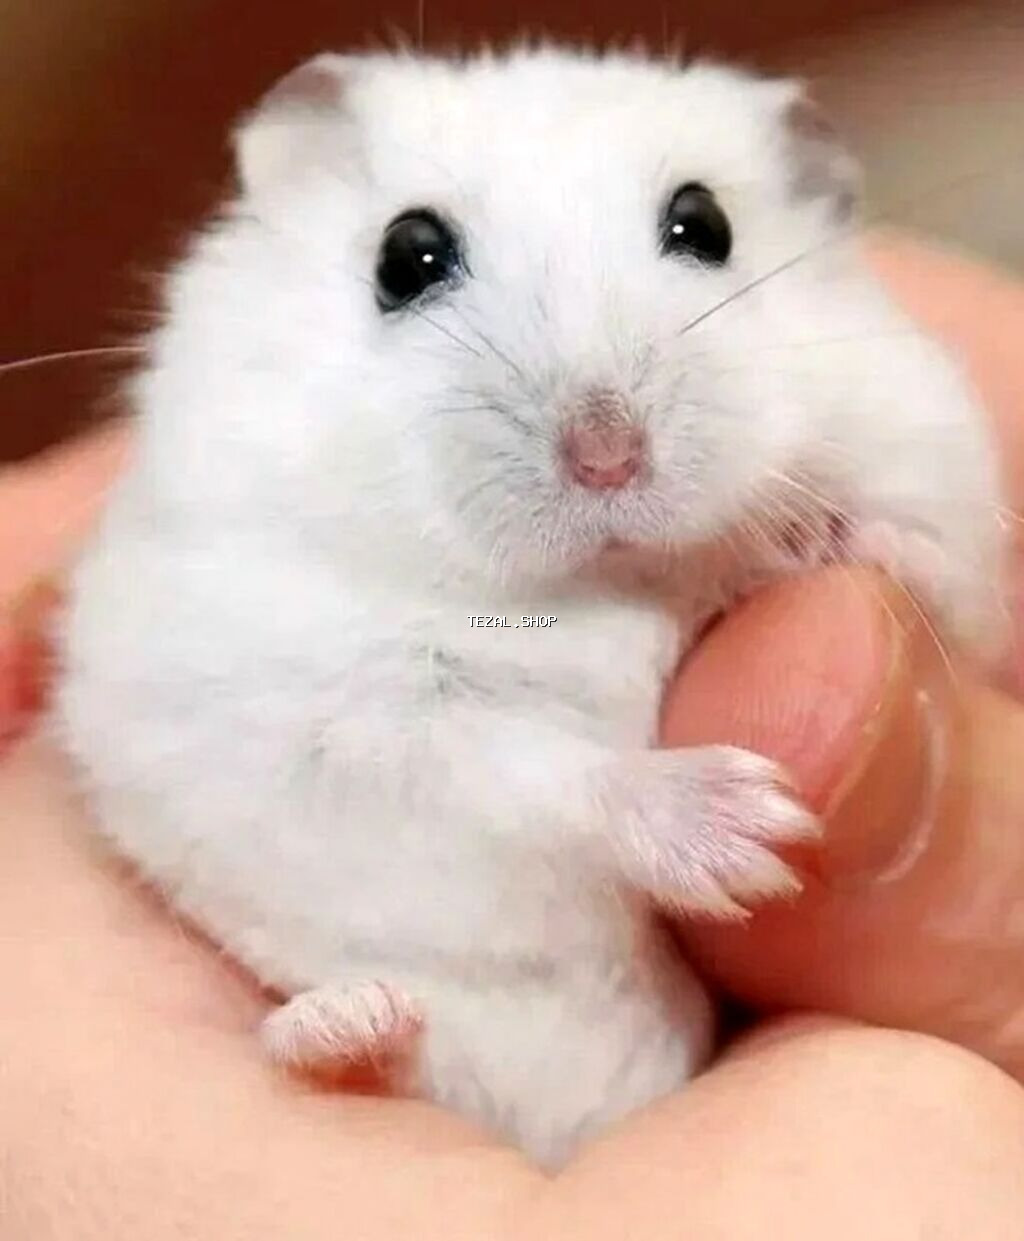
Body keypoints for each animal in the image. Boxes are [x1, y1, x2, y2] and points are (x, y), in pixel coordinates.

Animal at [54, 46, 1006, 1169]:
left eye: (704, 225)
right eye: (408, 254)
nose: (607, 456)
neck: (595, 583)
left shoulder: (942, 494)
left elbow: (922, 569)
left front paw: (807, 543)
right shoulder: (351, 721)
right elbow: (531, 773)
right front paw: (757, 831)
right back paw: (347, 1033)